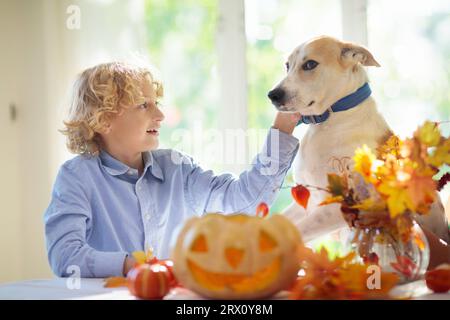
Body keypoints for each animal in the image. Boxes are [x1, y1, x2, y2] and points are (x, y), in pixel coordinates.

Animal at [268, 35, 448, 242]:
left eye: (310, 64)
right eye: (287, 65)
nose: (272, 95)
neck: (331, 120)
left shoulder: (338, 208)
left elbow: (293, 232)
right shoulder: (308, 199)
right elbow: (276, 220)